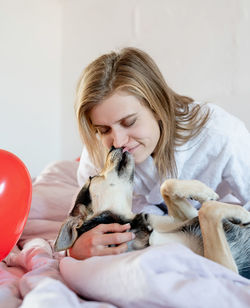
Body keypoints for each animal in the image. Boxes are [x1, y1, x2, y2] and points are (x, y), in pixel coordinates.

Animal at [55, 147, 250, 280]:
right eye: (94, 177)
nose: (112, 146)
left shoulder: (182, 217)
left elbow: (167, 185)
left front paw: (204, 192)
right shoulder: (224, 268)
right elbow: (207, 211)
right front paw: (243, 215)